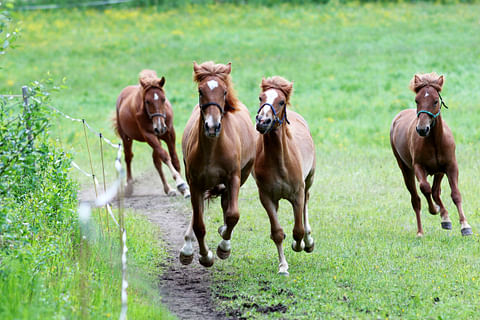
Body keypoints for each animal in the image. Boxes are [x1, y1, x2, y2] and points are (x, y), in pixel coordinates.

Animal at [114, 70, 189, 198]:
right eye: (147, 101)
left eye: (163, 99)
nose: (159, 127)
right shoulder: (149, 135)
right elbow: (165, 156)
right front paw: (180, 183)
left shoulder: (169, 134)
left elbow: (174, 159)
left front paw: (185, 190)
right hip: (126, 137)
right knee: (128, 157)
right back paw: (129, 186)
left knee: (156, 162)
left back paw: (168, 189)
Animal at [179, 61, 256, 266]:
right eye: (200, 90)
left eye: (224, 91)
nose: (212, 126)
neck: (212, 149)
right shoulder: (194, 183)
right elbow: (199, 225)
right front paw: (205, 256)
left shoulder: (234, 178)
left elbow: (233, 215)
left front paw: (223, 247)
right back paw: (187, 249)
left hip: (242, 175)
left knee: (226, 204)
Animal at [253, 75, 316, 276]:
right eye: (261, 97)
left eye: (281, 101)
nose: (262, 121)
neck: (279, 162)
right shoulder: (266, 197)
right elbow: (277, 232)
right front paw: (283, 266)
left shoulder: (297, 194)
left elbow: (298, 229)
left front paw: (299, 244)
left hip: (309, 180)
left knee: (306, 204)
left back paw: (308, 242)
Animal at [390, 73, 472, 238]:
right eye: (417, 100)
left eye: (435, 101)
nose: (422, 129)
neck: (434, 141)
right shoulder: (418, 167)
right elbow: (425, 188)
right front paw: (435, 210)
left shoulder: (450, 166)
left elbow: (455, 194)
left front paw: (465, 226)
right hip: (406, 170)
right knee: (416, 199)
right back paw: (420, 231)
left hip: (439, 171)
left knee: (435, 192)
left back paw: (445, 218)